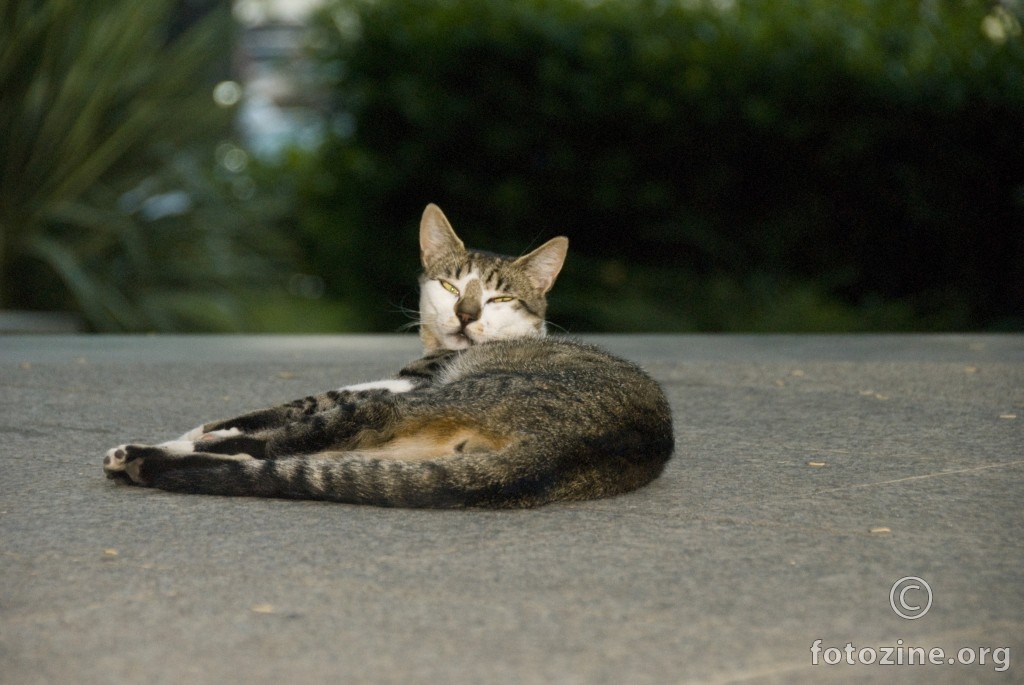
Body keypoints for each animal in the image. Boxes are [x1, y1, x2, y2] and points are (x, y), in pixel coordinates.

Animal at [103, 202, 671, 507]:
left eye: (499, 298)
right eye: (449, 286)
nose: (466, 314)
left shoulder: (396, 384)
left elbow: (278, 411)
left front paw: (196, 433)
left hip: (402, 405)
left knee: (277, 445)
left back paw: (141, 456)